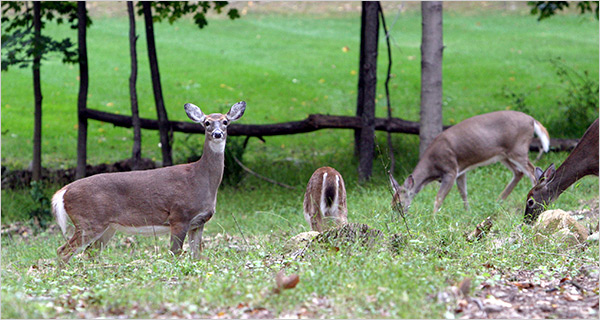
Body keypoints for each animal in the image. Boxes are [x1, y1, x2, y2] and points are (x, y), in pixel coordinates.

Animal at [51, 101, 246, 264]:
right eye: (206, 123)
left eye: (225, 122)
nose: (217, 134)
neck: (201, 180)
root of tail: (64, 191)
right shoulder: (179, 216)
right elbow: (175, 253)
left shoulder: (198, 222)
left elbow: (196, 255)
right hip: (88, 221)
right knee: (63, 251)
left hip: (107, 227)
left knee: (90, 252)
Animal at [390, 111, 548, 214]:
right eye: (391, 204)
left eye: (399, 204)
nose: (397, 219)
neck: (432, 168)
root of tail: (532, 120)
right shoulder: (460, 171)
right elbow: (463, 192)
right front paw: (468, 212)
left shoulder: (450, 170)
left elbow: (439, 198)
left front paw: (433, 217)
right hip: (504, 155)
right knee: (518, 172)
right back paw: (497, 202)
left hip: (518, 149)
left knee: (532, 171)